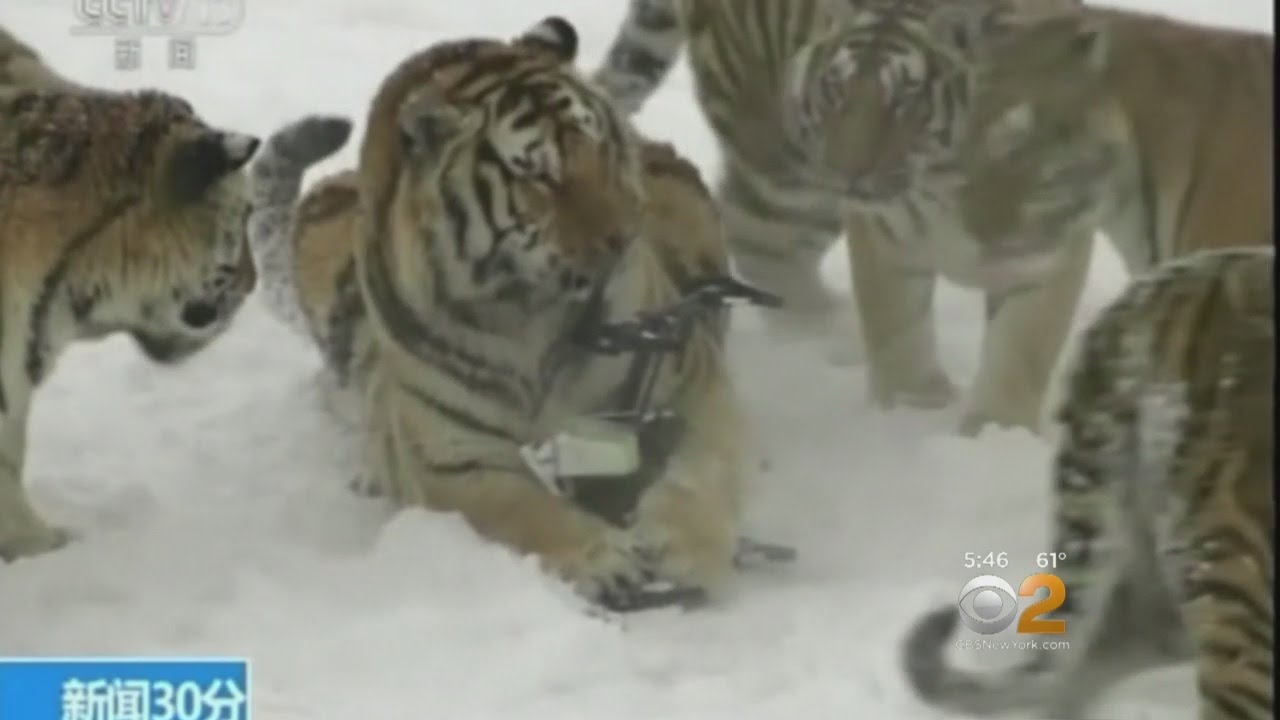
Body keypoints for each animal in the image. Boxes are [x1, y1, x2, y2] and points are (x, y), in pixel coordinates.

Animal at [246, 16, 750, 611]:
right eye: (540, 175)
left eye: (600, 148)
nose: (626, 235)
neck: (531, 312)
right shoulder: (452, 455)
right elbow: (523, 510)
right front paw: (601, 559)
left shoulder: (691, 384)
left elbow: (702, 472)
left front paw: (684, 551)